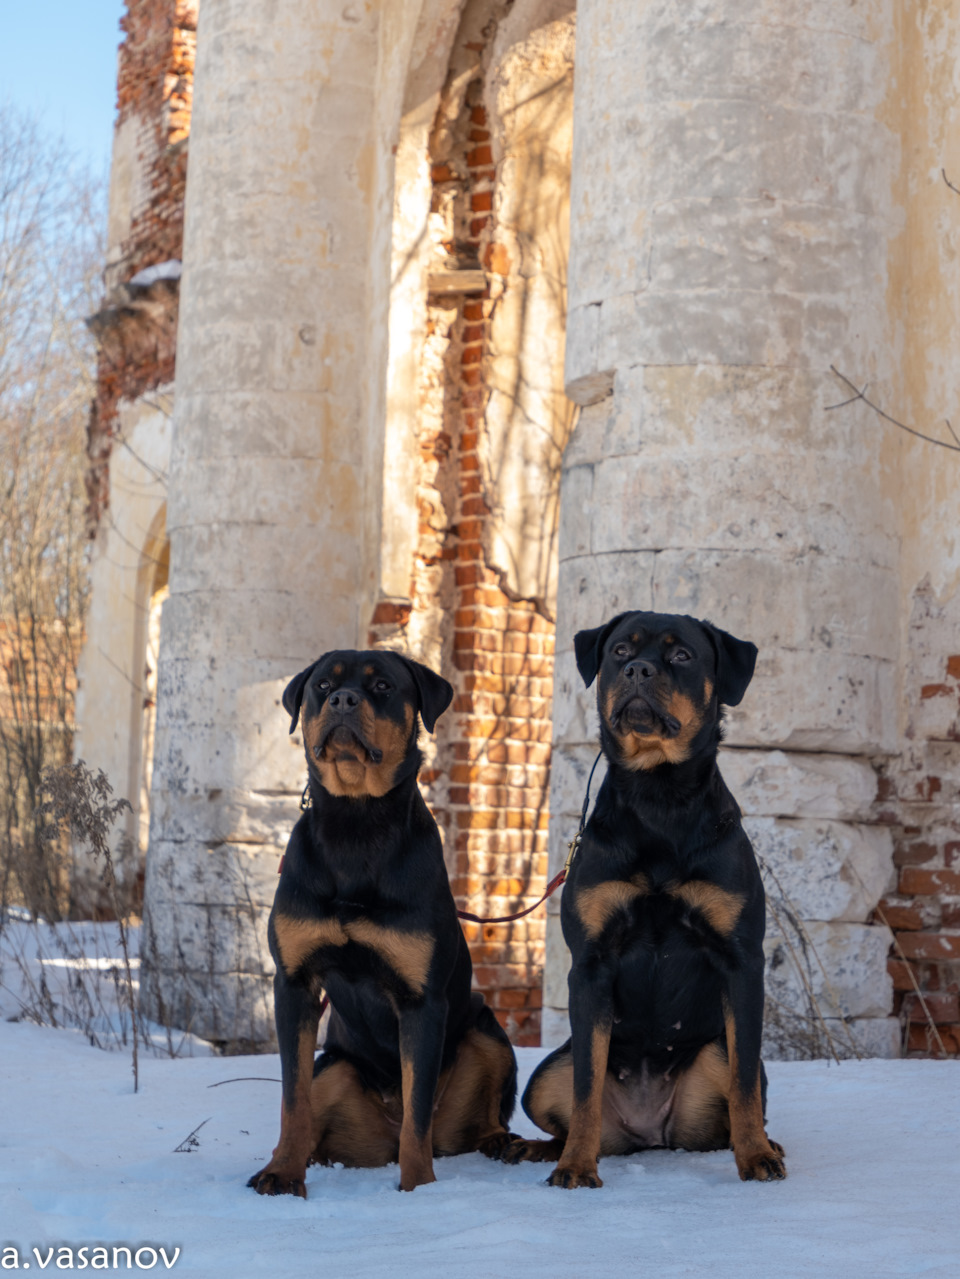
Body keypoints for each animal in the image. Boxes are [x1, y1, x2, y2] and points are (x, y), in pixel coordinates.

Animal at [247, 649, 518, 1197]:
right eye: (322, 685)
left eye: (383, 687)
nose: (343, 699)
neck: (356, 822)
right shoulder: (294, 983)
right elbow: (292, 1100)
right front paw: (282, 1173)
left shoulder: (422, 1000)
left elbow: (418, 1109)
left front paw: (417, 1188)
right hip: (334, 1067)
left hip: (486, 1029)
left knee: (469, 1114)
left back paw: (503, 1142)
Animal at [511, 608, 787, 1186]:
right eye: (620, 650)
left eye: (682, 655)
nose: (637, 670)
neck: (659, 796)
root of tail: (649, 1133)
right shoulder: (591, 963)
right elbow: (587, 1086)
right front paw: (575, 1167)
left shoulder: (741, 960)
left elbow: (744, 1086)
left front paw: (756, 1157)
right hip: (545, 1073)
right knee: (567, 1099)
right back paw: (537, 1149)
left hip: (715, 1054)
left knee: (734, 1100)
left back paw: (764, 1143)